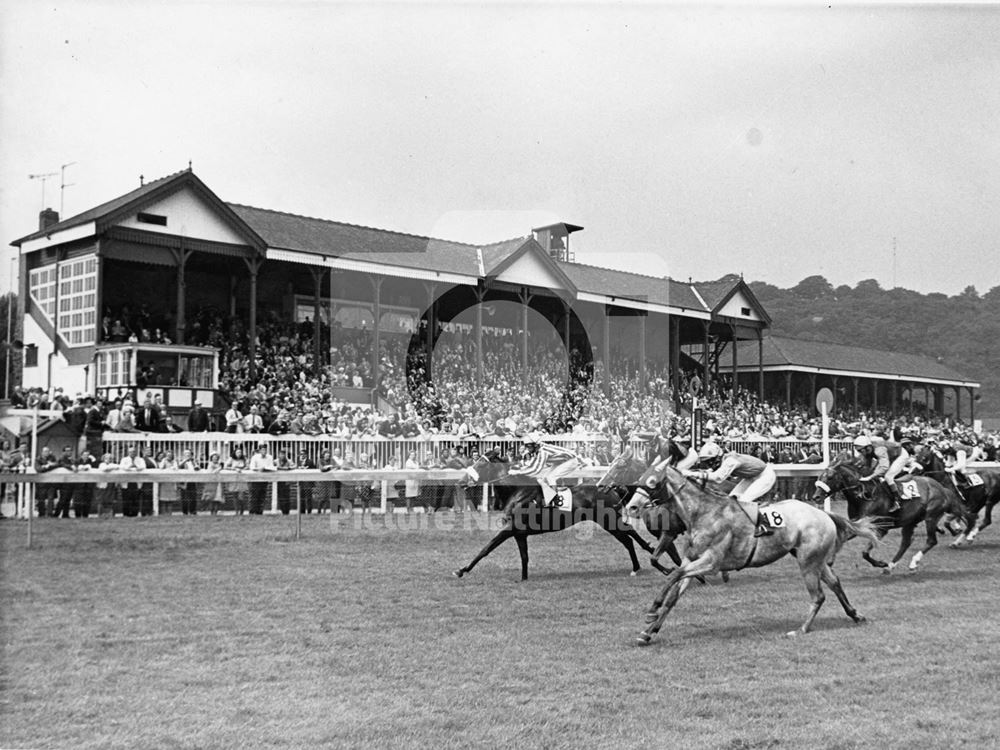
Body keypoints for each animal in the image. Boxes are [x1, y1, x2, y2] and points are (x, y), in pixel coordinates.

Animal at [628, 464, 880, 648]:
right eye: (641, 478)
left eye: (652, 482)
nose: (631, 507)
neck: (704, 513)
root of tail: (825, 514)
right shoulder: (693, 560)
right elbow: (673, 595)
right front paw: (648, 633)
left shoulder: (711, 562)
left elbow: (674, 575)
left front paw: (652, 611)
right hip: (814, 560)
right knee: (835, 583)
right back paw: (856, 615)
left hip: (808, 562)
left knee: (818, 596)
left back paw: (801, 629)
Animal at [812, 456, 968, 572]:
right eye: (820, 476)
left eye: (830, 477)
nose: (816, 497)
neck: (864, 496)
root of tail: (941, 487)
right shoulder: (858, 525)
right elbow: (841, 539)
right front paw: (829, 561)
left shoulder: (881, 528)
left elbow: (865, 552)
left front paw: (880, 563)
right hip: (911, 521)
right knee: (906, 542)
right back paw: (891, 566)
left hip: (931, 516)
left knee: (931, 540)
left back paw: (912, 562)